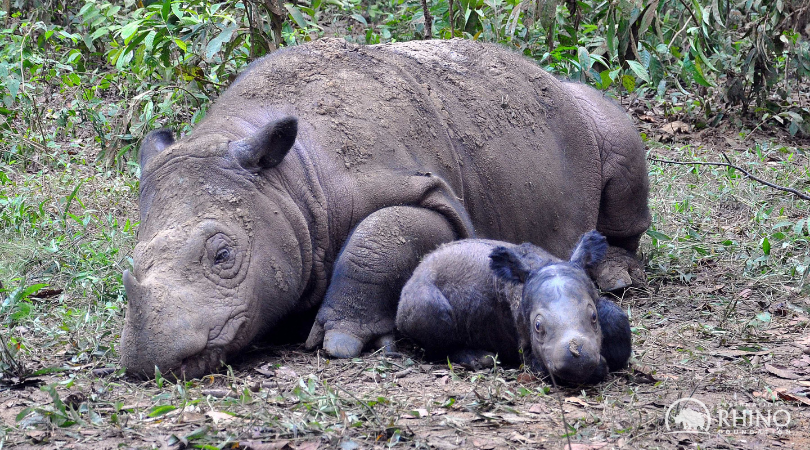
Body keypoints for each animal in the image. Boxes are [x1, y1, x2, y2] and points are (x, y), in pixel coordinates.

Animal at [396, 232, 632, 384]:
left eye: (593, 317)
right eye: (537, 326)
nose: (578, 362)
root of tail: (416, 271)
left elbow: (617, 322)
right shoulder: (528, 349)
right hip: (417, 296)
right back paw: (478, 358)